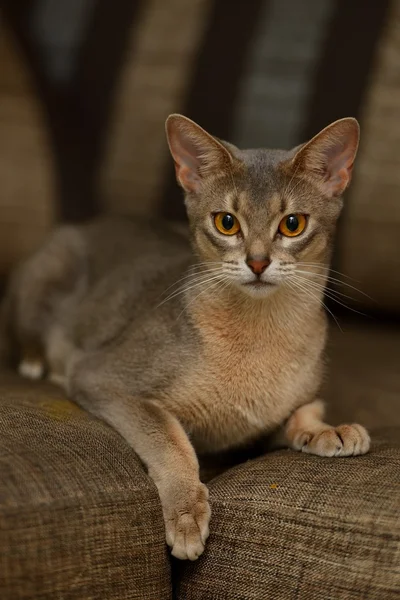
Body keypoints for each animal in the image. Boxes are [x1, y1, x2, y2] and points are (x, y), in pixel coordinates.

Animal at [0, 115, 370, 560]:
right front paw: (186, 514)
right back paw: (37, 363)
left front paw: (327, 429)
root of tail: (87, 224)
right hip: (50, 269)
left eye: (292, 224)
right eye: (226, 222)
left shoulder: (251, 432)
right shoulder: (102, 378)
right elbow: (170, 438)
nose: (257, 262)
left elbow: (303, 410)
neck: (258, 339)